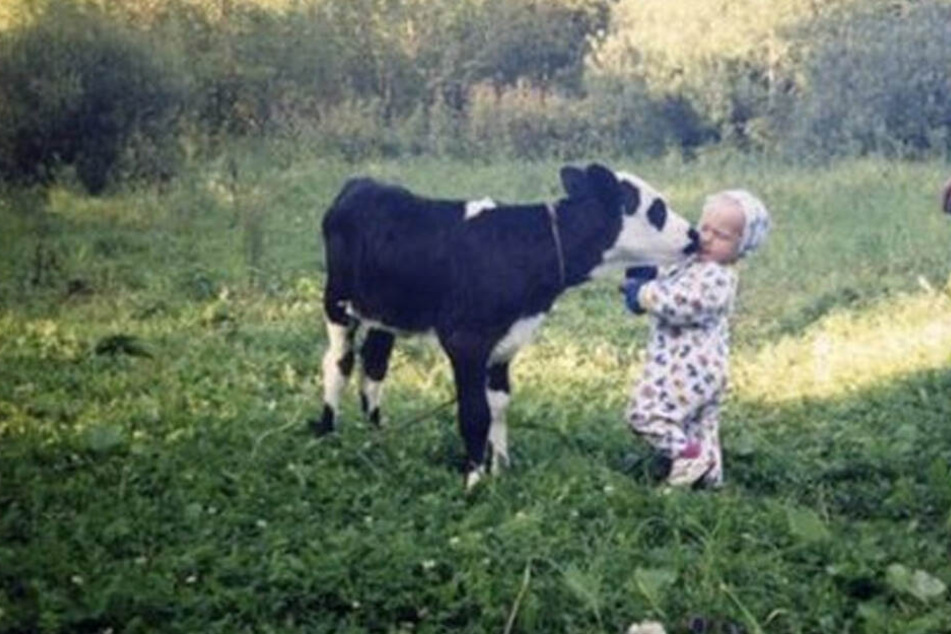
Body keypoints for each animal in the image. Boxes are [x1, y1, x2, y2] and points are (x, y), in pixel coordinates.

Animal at [316, 162, 696, 484]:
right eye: (657, 210)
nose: (695, 235)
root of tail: (362, 182)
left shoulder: (506, 341)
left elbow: (498, 406)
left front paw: (500, 468)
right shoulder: (465, 341)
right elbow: (474, 413)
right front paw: (474, 481)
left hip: (386, 314)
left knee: (374, 365)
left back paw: (378, 433)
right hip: (337, 302)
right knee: (339, 362)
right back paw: (328, 433)